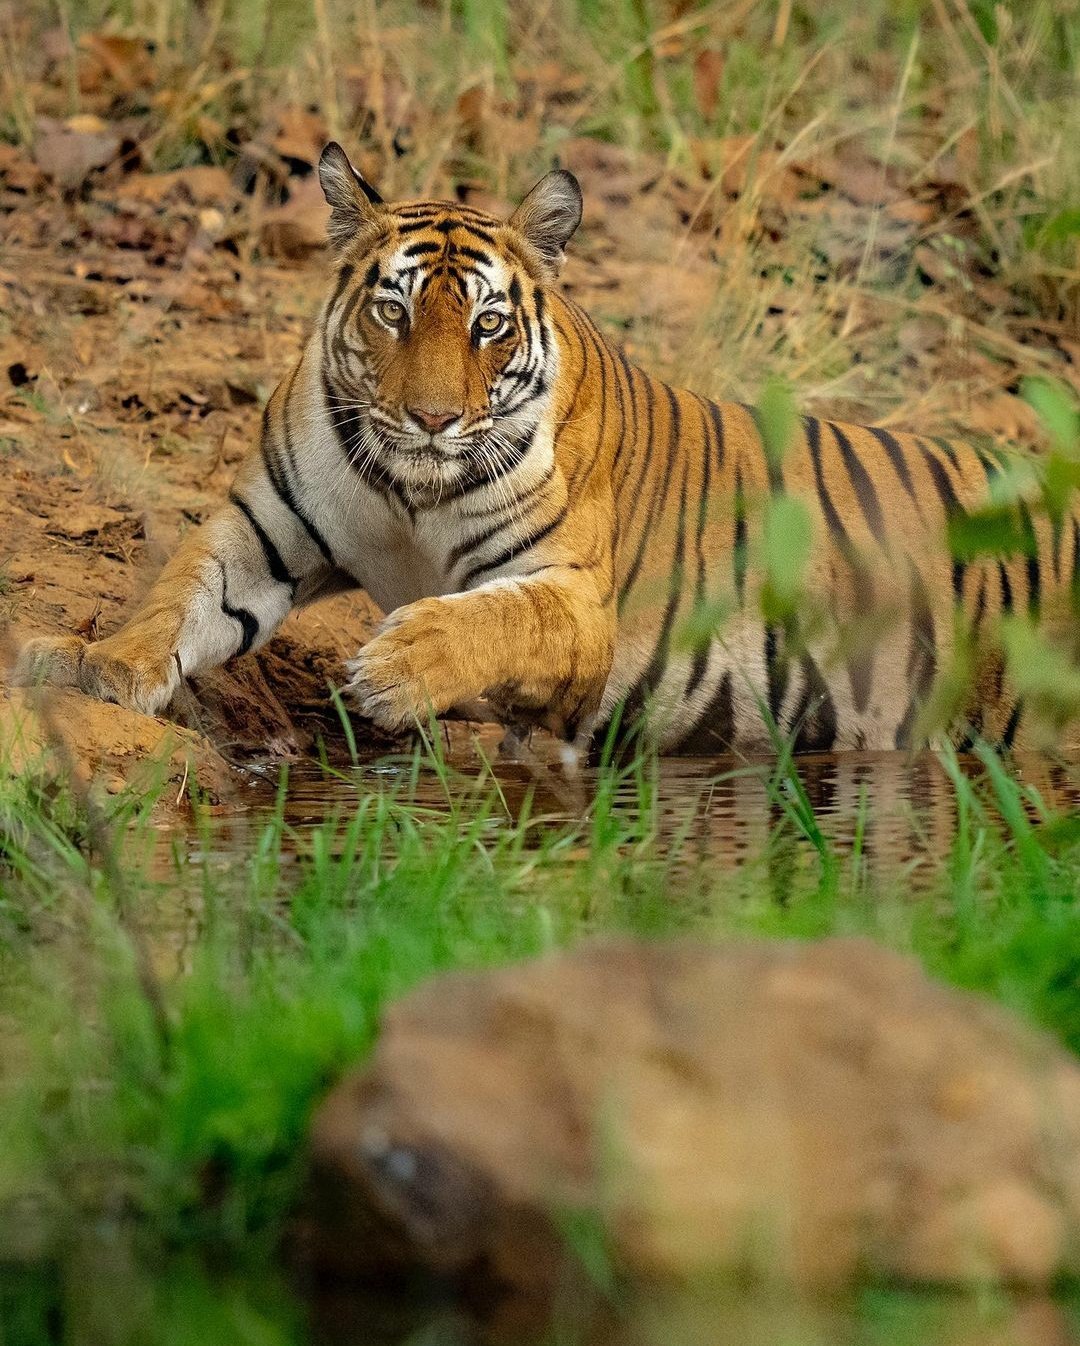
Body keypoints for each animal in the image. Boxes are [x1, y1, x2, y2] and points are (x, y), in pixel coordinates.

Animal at [13, 141, 1080, 756]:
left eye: (487, 325)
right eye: (394, 312)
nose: (433, 419)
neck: (409, 495)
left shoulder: (576, 598)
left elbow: (496, 619)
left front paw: (396, 669)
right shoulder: (262, 528)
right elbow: (179, 597)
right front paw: (97, 665)